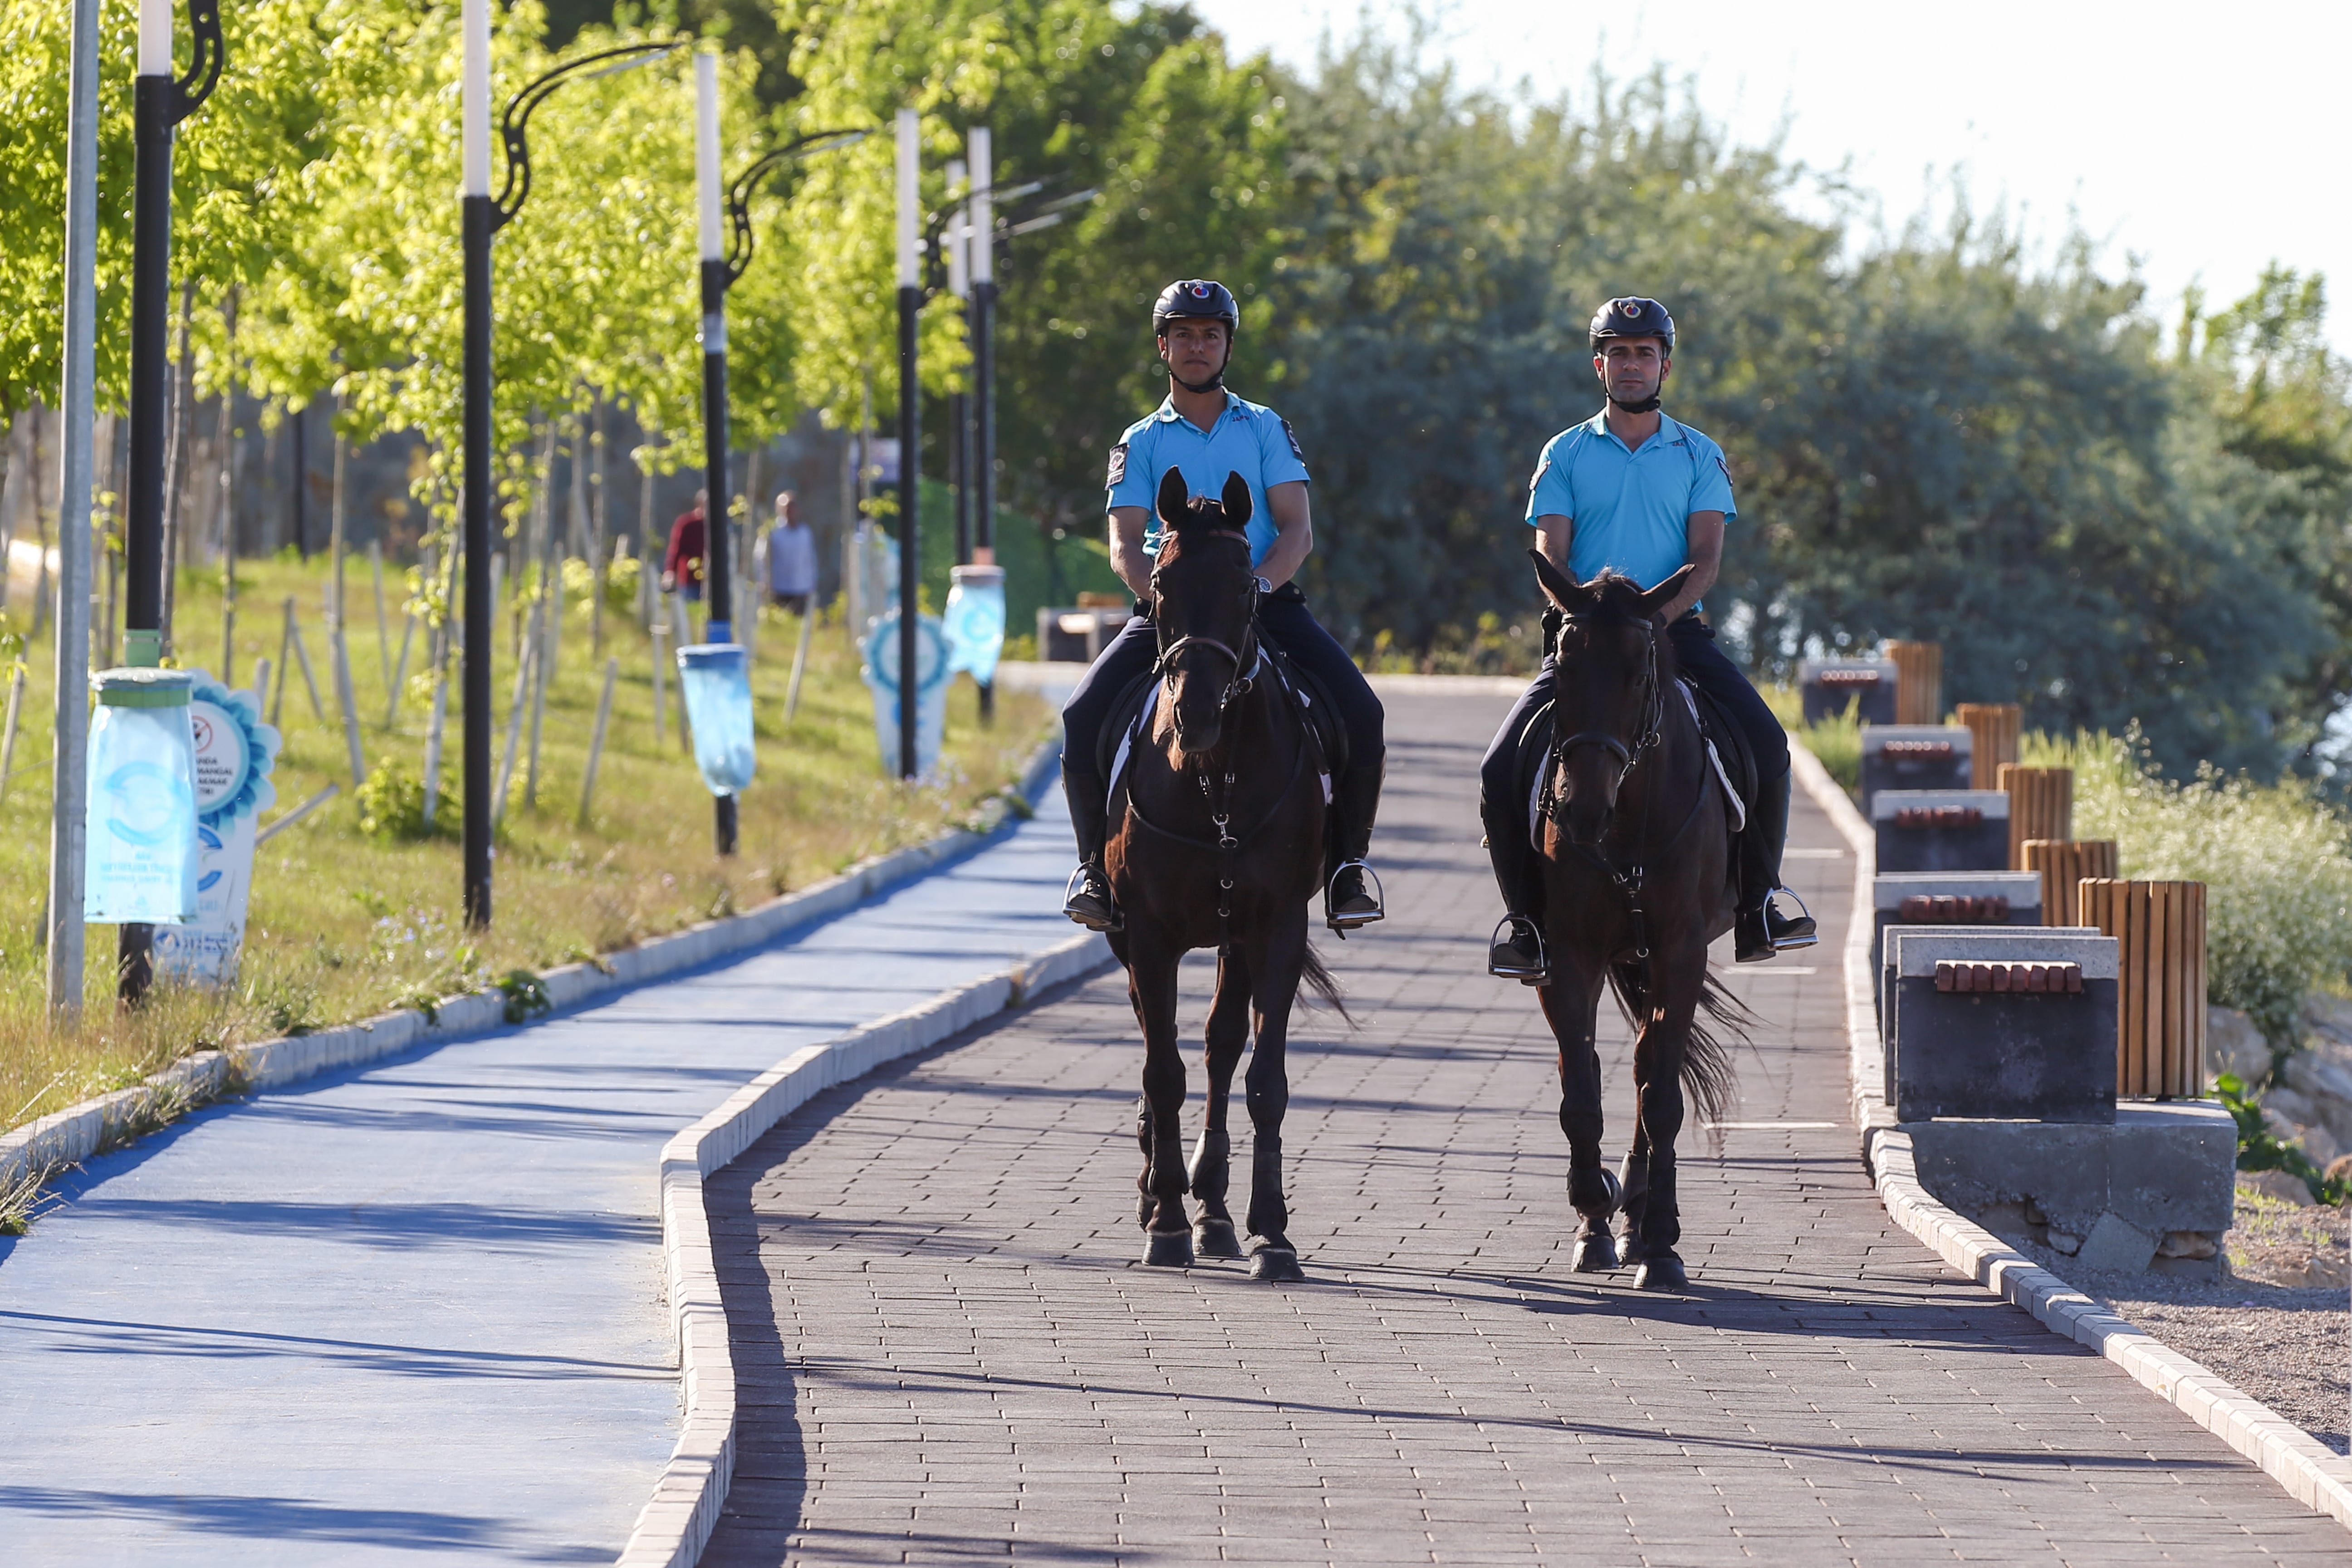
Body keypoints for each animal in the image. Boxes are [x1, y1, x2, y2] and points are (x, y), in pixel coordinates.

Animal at [1101, 463, 1345, 1279]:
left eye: (1246, 588)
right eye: (1160, 587)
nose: (1196, 715)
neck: (1217, 782)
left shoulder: (1275, 928)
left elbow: (1261, 1077)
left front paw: (1271, 1232)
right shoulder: (1147, 935)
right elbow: (1161, 1069)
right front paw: (1166, 1221)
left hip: (1234, 937)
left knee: (1218, 1045)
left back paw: (1213, 1207)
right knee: (1167, 1043)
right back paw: (1164, 1190)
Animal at [1524, 557, 1749, 1298]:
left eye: (1637, 674)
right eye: (1562, 668)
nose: (1580, 810)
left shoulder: (1681, 954)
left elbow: (1663, 1098)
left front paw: (1660, 1242)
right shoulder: (1568, 956)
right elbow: (1580, 1086)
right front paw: (1593, 1212)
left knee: (1656, 1071)